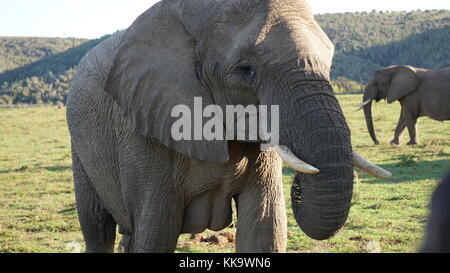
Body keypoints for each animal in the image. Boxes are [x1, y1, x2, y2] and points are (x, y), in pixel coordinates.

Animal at [66, 0, 390, 253]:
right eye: (246, 70)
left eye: (330, 65)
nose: (299, 186)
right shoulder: (143, 127)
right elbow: (156, 233)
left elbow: (265, 227)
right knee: (97, 227)